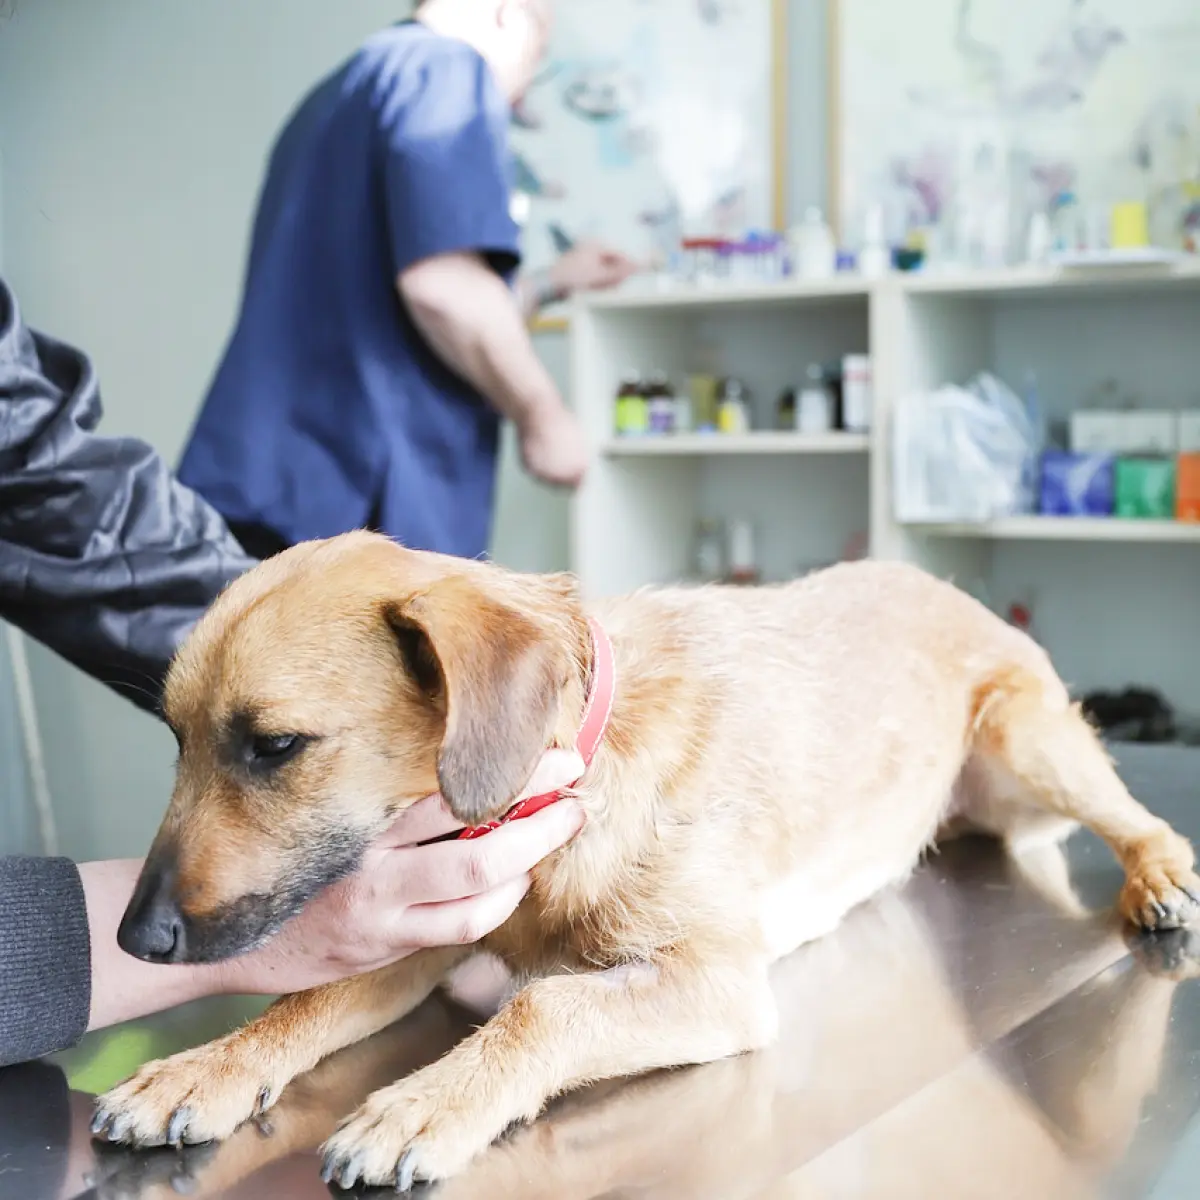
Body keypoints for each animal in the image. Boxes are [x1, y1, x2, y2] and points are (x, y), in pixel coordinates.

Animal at [93, 532, 1200, 1190]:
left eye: (275, 745)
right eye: (177, 738)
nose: (133, 939)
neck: (565, 787)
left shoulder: (716, 982)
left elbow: (543, 1009)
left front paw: (425, 1103)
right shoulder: (428, 924)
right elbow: (304, 1004)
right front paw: (204, 1069)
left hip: (1028, 738)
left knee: (1142, 820)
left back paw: (1159, 879)